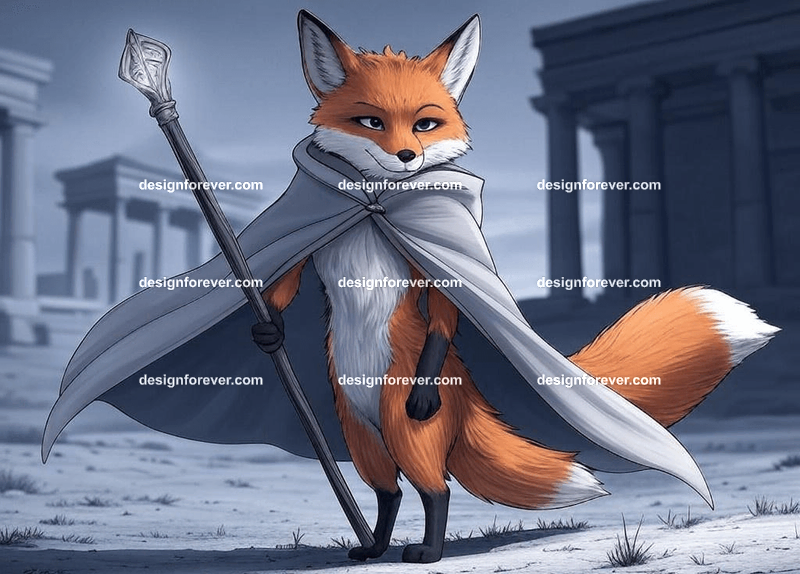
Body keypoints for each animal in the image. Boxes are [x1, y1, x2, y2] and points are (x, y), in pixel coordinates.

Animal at [250, 10, 779, 564]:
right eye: (370, 122)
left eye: (424, 123)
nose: (407, 156)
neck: (374, 203)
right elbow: (285, 284)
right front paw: (268, 333)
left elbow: (444, 309)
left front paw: (423, 397)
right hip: (358, 428)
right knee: (388, 490)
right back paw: (373, 547)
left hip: (404, 426)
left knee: (436, 490)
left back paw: (428, 551)